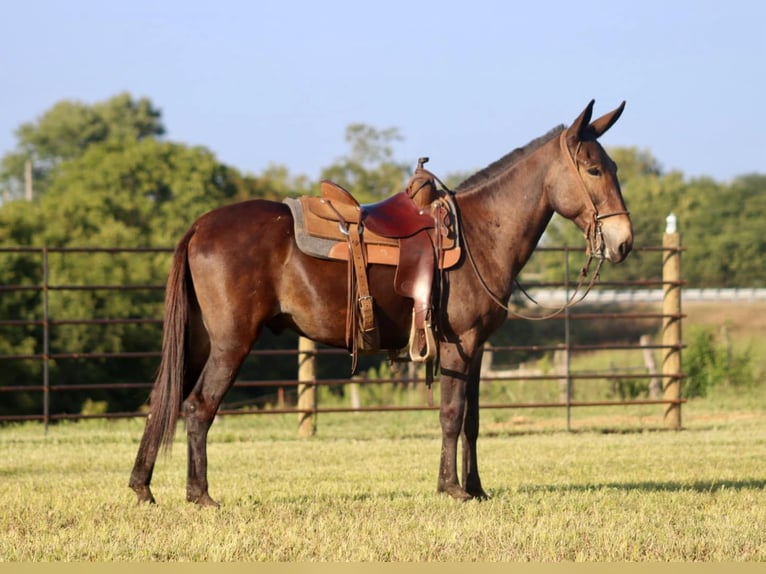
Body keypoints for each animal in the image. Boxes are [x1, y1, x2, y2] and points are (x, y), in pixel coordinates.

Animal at [130, 101, 636, 506]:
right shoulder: (457, 346)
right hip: (231, 342)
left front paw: (475, 487)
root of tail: (201, 226)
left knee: (164, 399)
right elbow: (451, 416)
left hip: (199, 341)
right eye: (593, 170)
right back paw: (200, 495)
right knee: (198, 406)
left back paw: (143, 486)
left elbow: (472, 421)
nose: (623, 241)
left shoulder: (476, 350)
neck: (480, 233)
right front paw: (452, 489)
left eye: (614, 167)